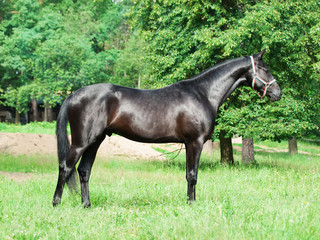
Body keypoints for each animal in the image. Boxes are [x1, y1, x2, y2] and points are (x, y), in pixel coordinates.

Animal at [52, 48, 280, 206]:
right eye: (266, 69)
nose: (278, 93)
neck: (202, 93)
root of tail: (72, 95)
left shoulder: (190, 144)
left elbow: (191, 174)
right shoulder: (194, 142)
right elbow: (192, 174)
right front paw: (191, 204)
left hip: (95, 141)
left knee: (83, 171)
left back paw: (87, 205)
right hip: (81, 142)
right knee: (65, 167)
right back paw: (56, 203)